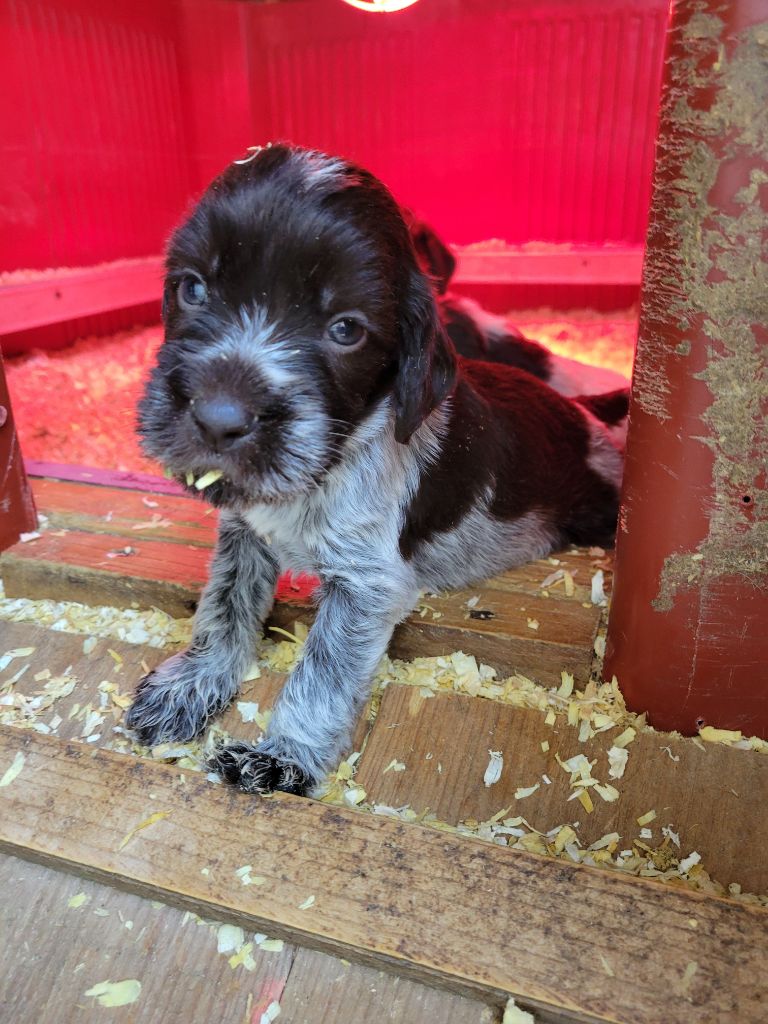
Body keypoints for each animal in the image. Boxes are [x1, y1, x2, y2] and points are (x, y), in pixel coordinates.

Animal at [124, 144, 626, 794]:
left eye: (346, 329)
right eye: (192, 289)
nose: (217, 420)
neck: (332, 457)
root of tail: (581, 416)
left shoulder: (366, 585)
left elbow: (323, 672)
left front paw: (284, 757)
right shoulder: (244, 533)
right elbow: (223, 608)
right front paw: (191, 684)